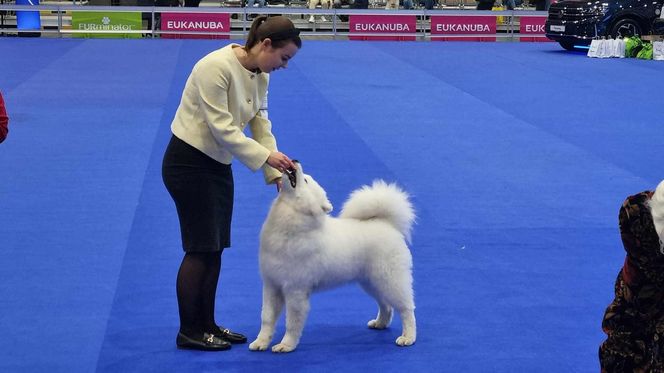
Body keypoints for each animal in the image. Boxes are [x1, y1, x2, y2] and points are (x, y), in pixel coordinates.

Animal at [249, 162, 416, 352]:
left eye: (305, 180)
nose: (295, 160)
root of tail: (386, 223)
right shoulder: (272, 285)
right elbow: (267, 318)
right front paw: (261, 342)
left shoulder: (295, 290)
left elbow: (292, 322)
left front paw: (286, 345)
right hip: (372, 282)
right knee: (385, 305)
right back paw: (380, 323)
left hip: (390, 280)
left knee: (406, 309)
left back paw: (408, 337)